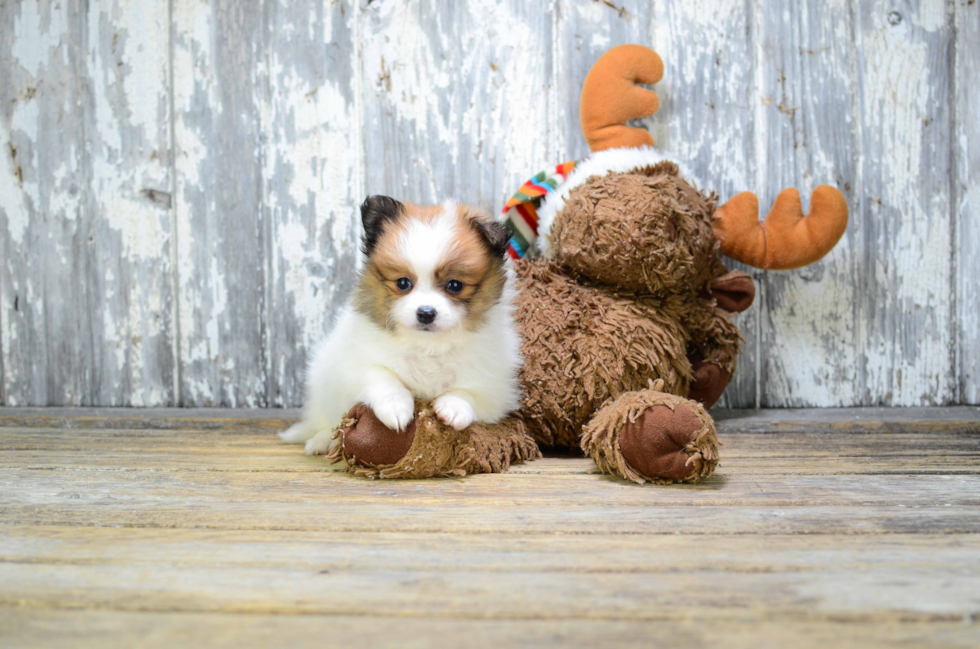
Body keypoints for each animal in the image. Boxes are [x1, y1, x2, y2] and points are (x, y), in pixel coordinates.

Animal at [280, 195, 520, 454]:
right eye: (403, 283)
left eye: (454, 285)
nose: (425, 313)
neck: (428, 346)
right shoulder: (353, 365)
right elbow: (382, 376)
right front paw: (395, 407)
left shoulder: (496, 390)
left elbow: (471, 394)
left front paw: (454, 407)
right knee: (325, 420)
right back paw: (322, 441)